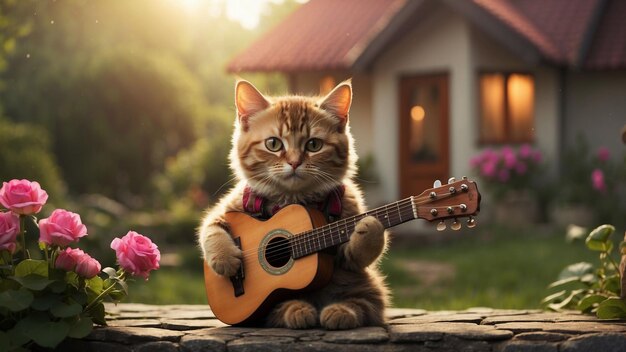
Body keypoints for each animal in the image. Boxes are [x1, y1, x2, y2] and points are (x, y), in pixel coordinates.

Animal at [197, 80, 388, 330]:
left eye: (314, 145)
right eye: (273, 144)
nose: (295, 162)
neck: (292, 199)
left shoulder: (347, 247)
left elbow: (357, 254)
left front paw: (372, 224)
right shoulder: (227, 207)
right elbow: (210, 229)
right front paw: (225, 260)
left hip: (367, 285)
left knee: (366, 305)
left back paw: (338, 311)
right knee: (273, 313)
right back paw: (296, 309)